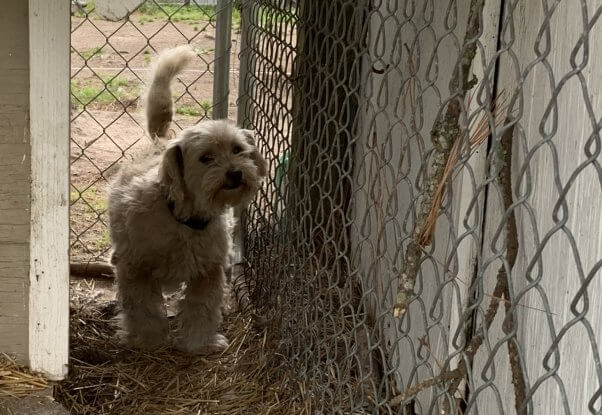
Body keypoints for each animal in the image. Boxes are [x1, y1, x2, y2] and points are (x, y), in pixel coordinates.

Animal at [108, 47, 268, 356]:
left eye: (238, 149)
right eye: (206, 158)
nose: (235, 173)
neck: (185, 221)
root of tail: (159, 141)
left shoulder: (209, 272)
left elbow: (201, 310)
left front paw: (199, 343)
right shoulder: (136, 269)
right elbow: (144, 310)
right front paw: (148, 341)